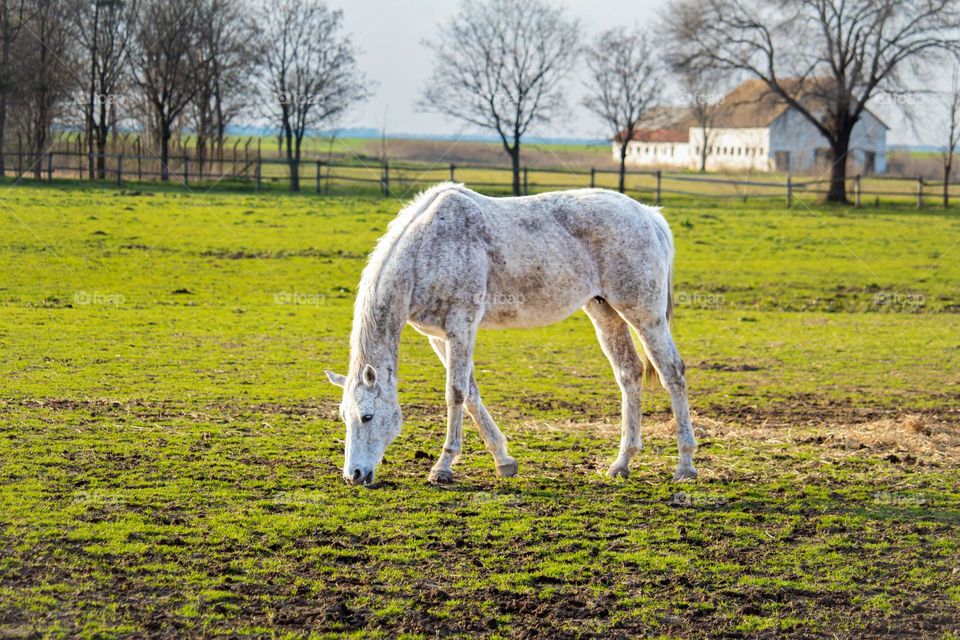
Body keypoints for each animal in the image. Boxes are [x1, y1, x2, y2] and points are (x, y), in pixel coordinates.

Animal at [324, 184, 696, 484]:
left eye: (367, 416)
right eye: (344, 417)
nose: (354, 475)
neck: (427, 249)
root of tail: (648, 216)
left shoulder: (461, 325)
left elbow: (455, 393)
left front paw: (443, 467)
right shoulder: (438, 337)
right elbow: (471, 394)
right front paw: (503, 460)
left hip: (645, 316)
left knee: (672, 373)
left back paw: (685, 466)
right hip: (604, 311)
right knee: (629, 373)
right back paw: (622, 462)